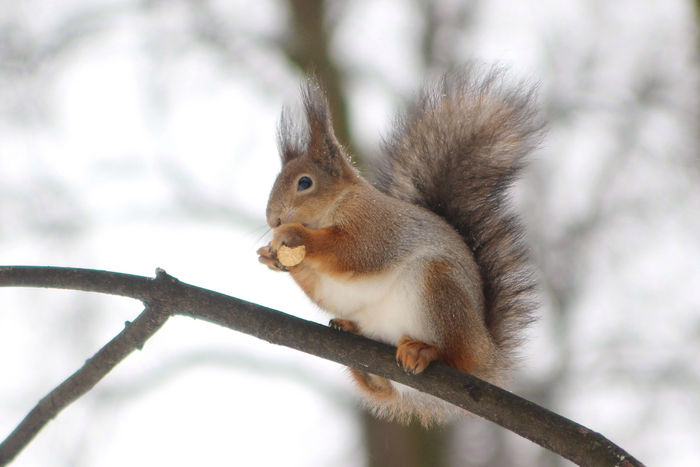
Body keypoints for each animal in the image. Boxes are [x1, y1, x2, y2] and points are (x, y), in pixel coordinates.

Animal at [258, 66, 540, 428]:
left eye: (304, 182)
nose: (273, 219)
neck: (334, 208)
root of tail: (487, 356)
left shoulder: (376, 226)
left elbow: (353, 251)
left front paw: (295, 236)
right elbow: (321, 286)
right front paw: (273, 258)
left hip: (439, 288)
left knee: (456, 357)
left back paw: (425, 350)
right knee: (381, 389)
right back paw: (358, 349)